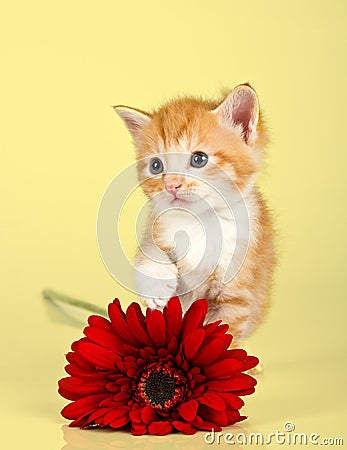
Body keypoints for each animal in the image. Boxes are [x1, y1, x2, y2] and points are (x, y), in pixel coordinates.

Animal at [115, 84, 276, 344]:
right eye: (156, 166)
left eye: (199, 159)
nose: (171, 185)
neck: (199, 221)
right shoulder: (157, 226)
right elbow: (147, 251)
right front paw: (157, 282)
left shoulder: (237, 294)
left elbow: (225, 333)